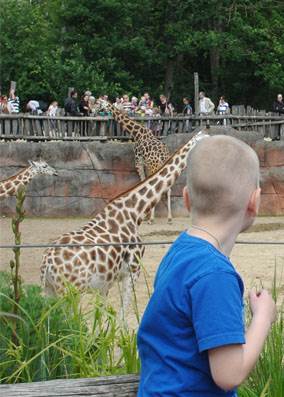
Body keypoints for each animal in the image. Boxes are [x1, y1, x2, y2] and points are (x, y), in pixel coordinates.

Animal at [40, 130, 207, 316]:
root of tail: (47, 263)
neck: (134, 212)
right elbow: (122, 314)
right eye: (206, 140)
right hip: (71, 292)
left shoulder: (105, 282)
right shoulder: (133, 270)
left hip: (50, 290)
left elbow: (104, 316)